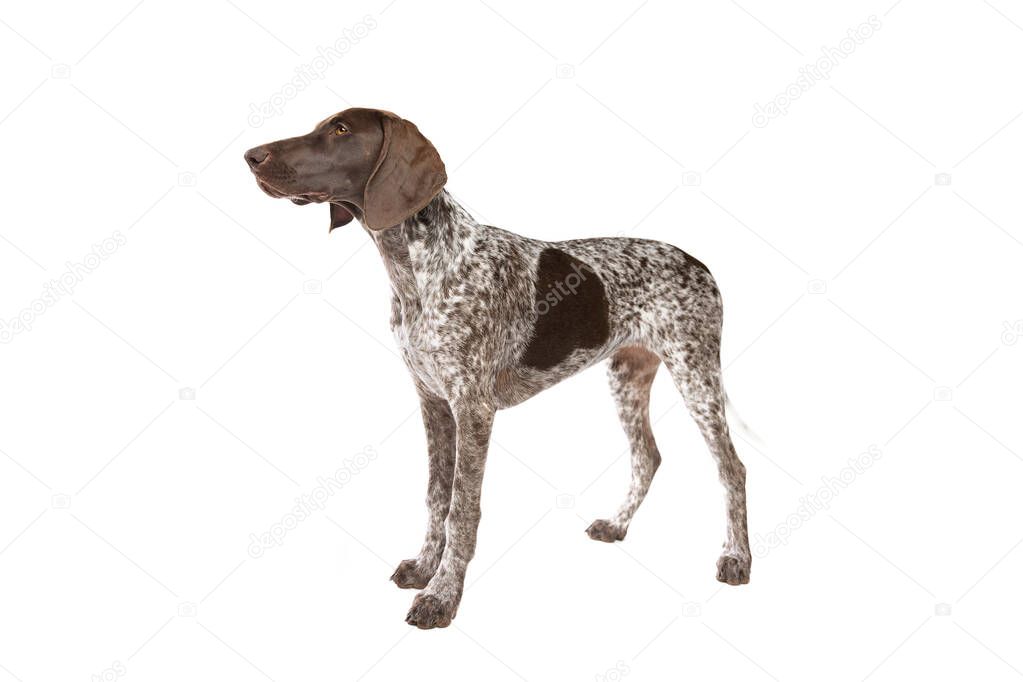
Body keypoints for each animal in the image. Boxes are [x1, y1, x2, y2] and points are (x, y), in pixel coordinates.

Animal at [242, 107, 748, 629]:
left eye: (341, 131)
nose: (250, 156)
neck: (420, 270)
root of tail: (698, 262)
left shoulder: (473, 408)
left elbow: (462, 509)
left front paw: (442, 597)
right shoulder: (433, 402)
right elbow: (436, 495)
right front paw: (425, 567)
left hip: (695, 373)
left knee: (732, 468)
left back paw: (736, 558)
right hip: (627, 377)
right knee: (647, 456)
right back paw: (616, 524)